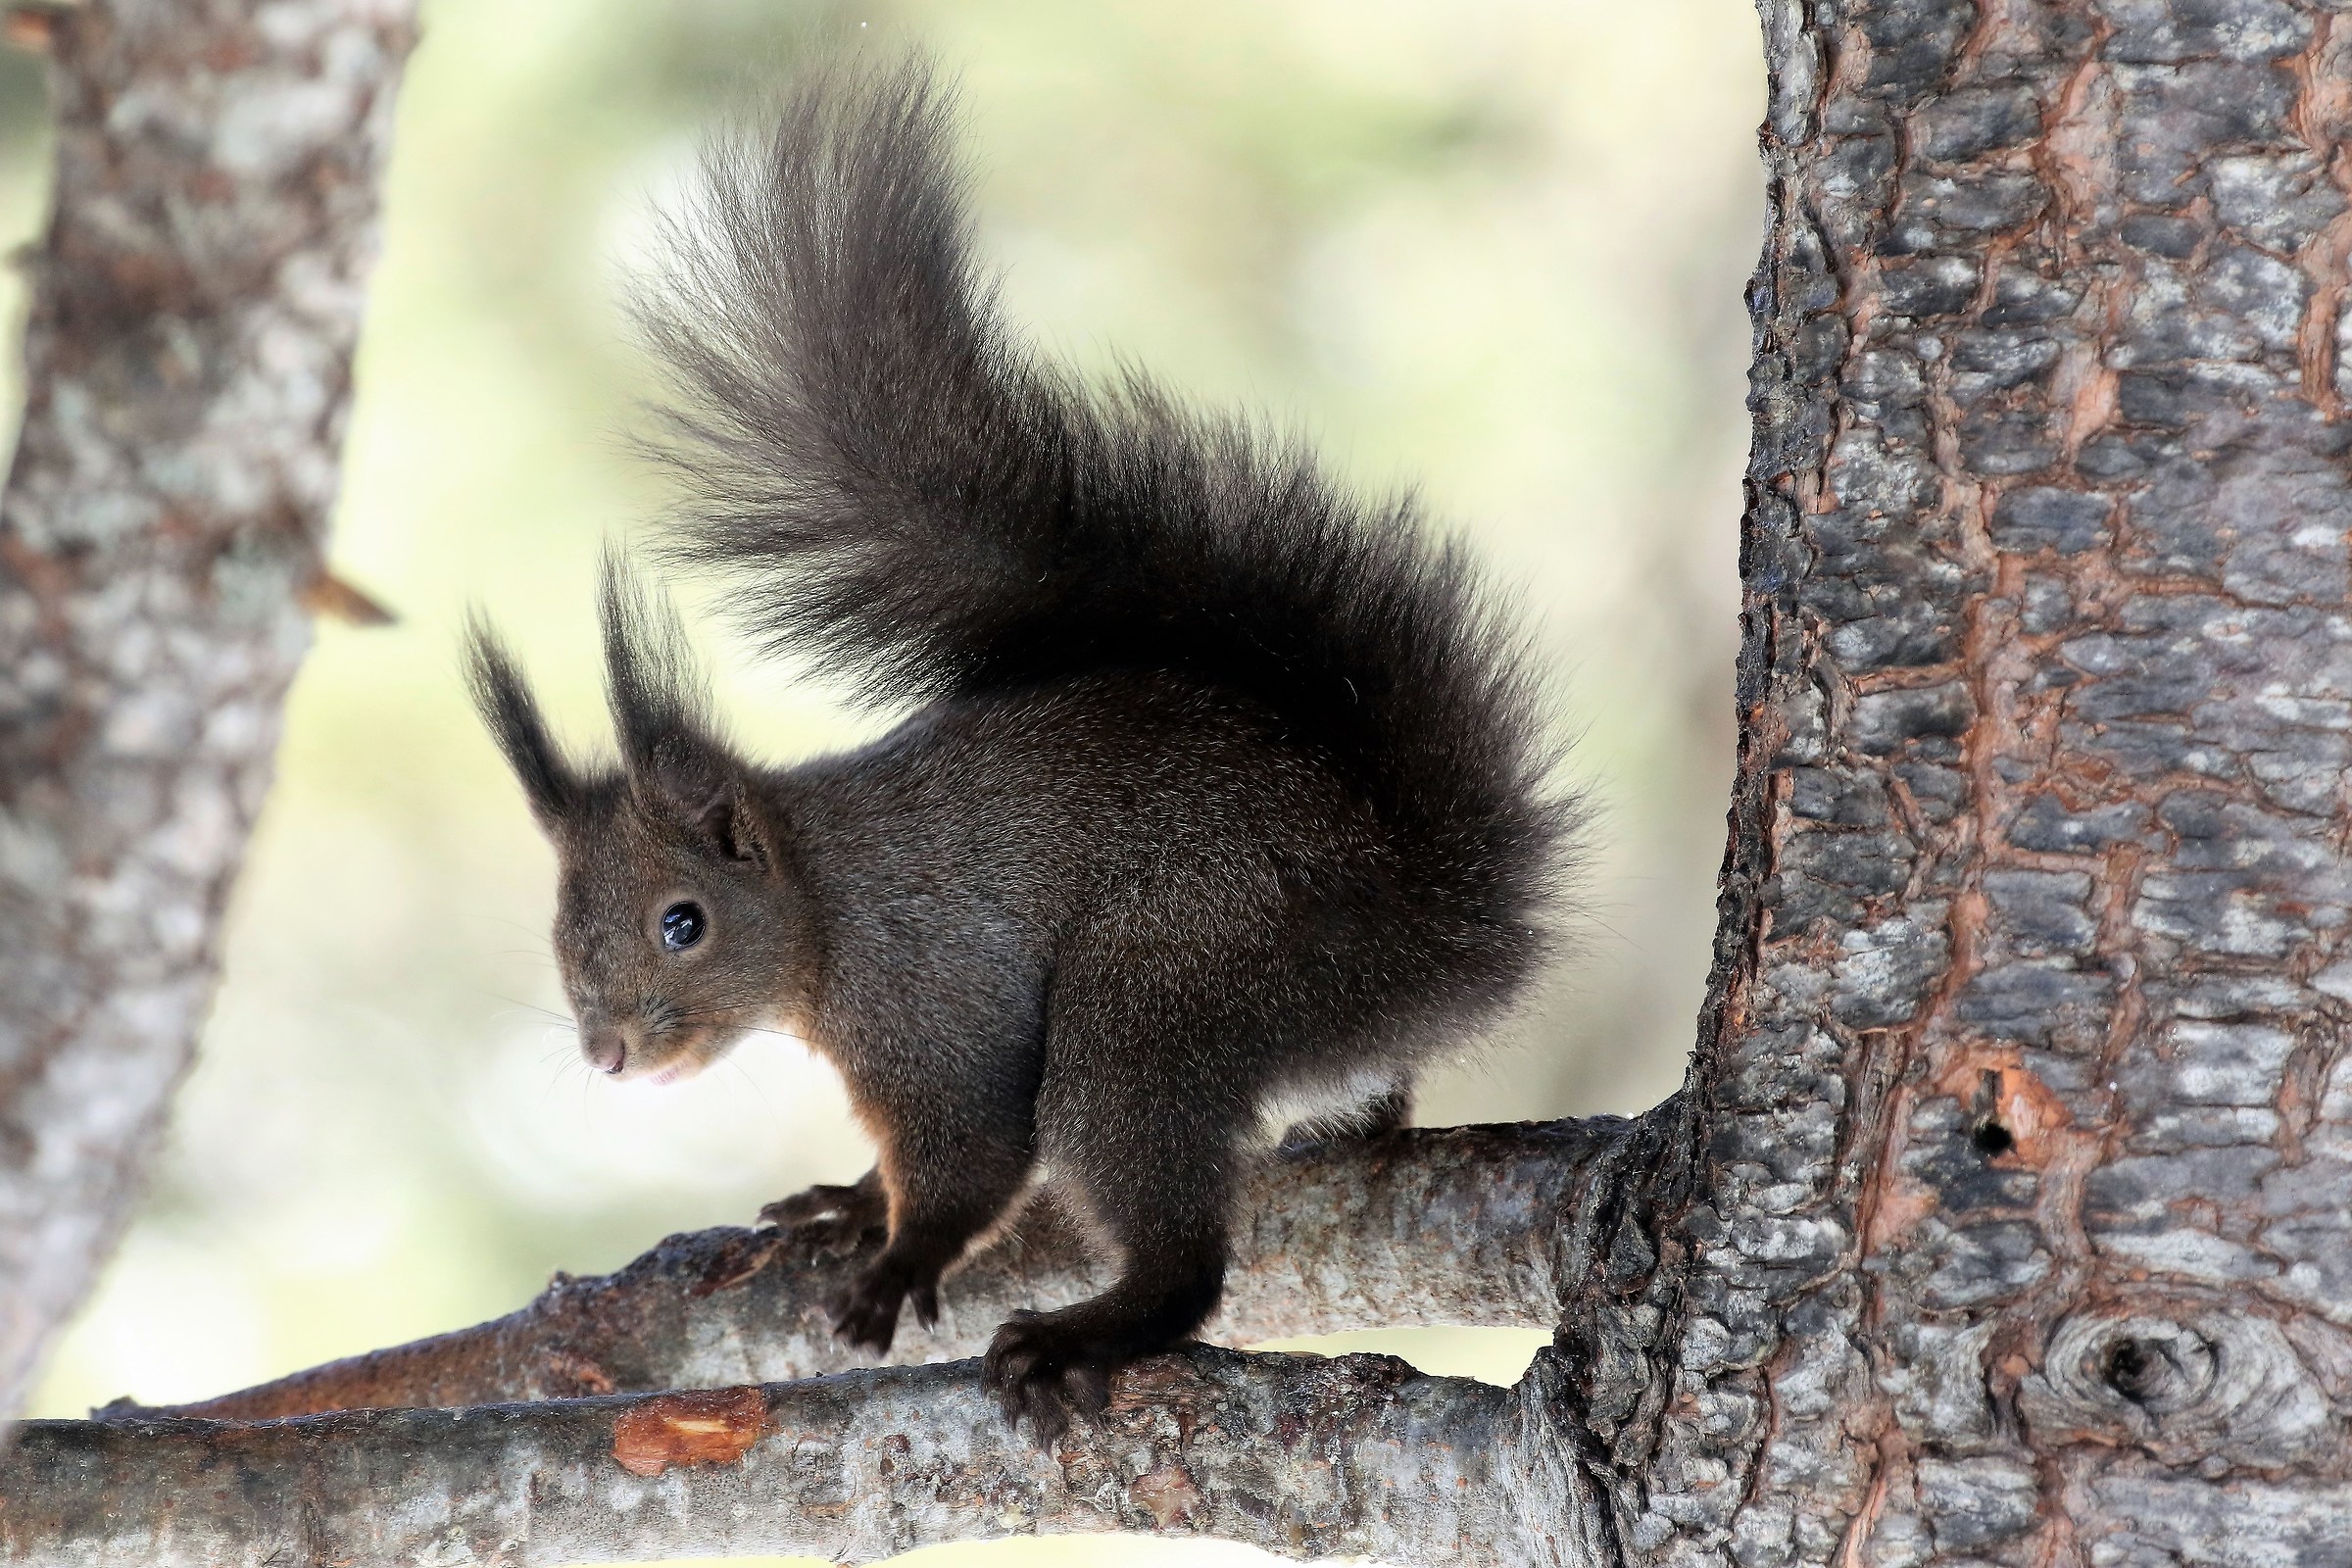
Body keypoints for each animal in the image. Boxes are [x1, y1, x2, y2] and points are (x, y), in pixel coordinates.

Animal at [464, 58, 1579, 1439]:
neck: (825, 901)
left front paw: (899, 1252)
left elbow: (975, 1153)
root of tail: (1445, 915)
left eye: (685, 921)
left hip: (1170, 985)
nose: (611, 1053)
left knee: (1174, 1240)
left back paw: (1085, 1329)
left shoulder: (930, 991)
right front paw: (850, 1198)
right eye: (564, 930)